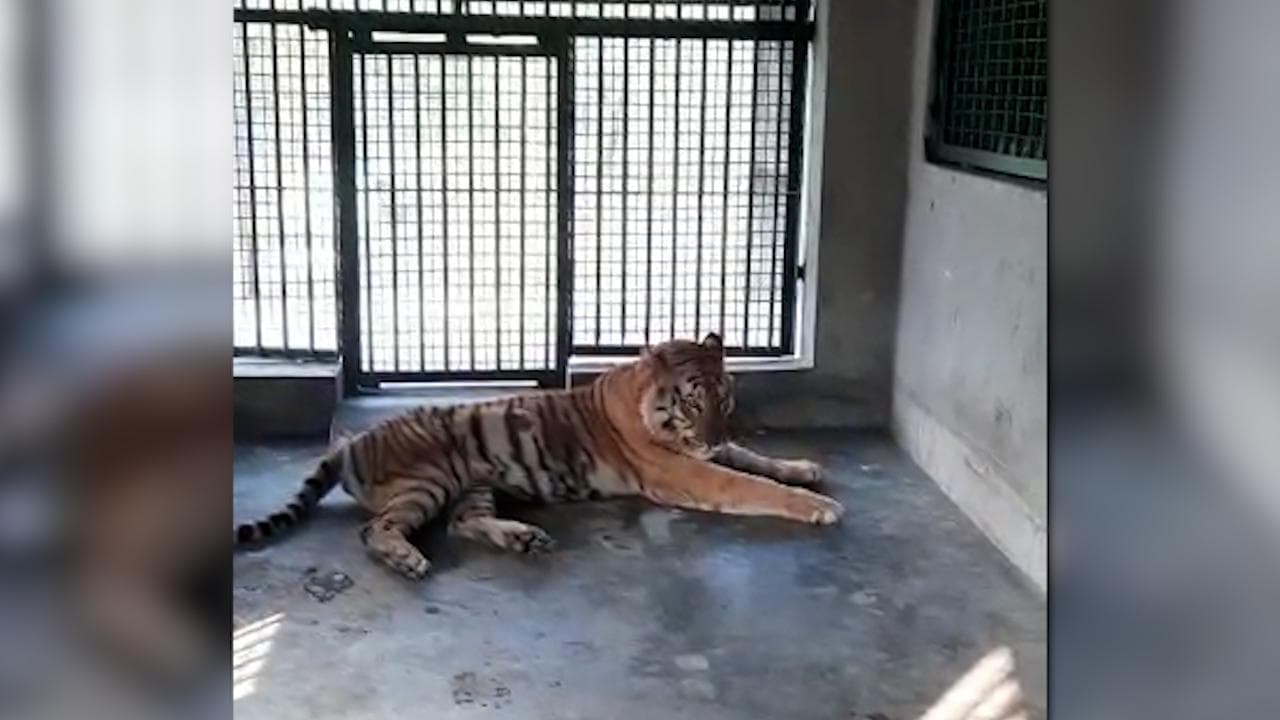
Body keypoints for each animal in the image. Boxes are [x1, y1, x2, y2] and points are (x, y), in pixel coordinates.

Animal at [234, 333, 844, 580]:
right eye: (694, 400)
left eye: (726, 397)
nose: (713, 436)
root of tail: (348, 443)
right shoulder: (681, 470)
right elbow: (747, 484)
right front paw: (819, 506)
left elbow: (754, 459)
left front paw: (803, 468)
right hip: (429, 477)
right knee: (376, 530)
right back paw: (408, 560)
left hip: (473, 484)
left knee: (462, 524)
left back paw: (524, 538)